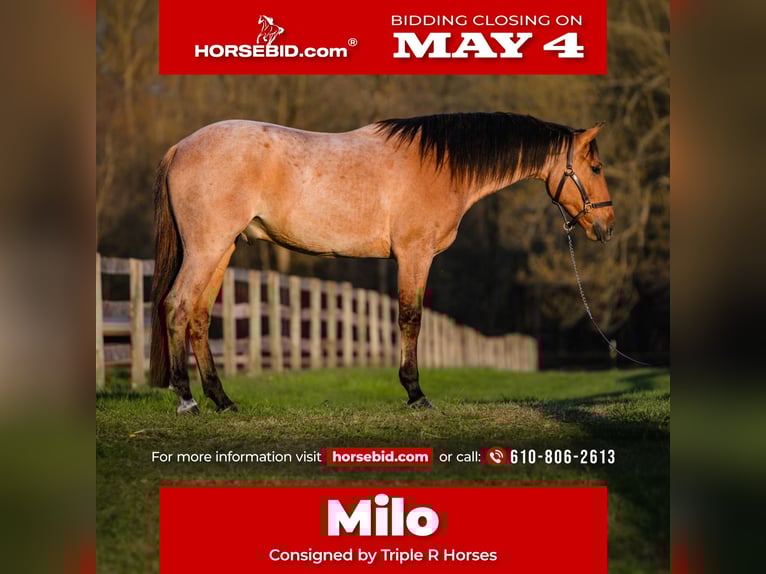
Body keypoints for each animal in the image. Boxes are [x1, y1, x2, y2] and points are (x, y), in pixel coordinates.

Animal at [150, 112, 614, 414]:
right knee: (176, 307)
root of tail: (180, 147)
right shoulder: (413, 255)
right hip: (207, 248)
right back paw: (187, 400)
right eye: (594, 167)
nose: (606, 227)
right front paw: (416, 393)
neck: (439, 166)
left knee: (199, 317)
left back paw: (222, 400)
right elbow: (410, 318)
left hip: (222, 249)